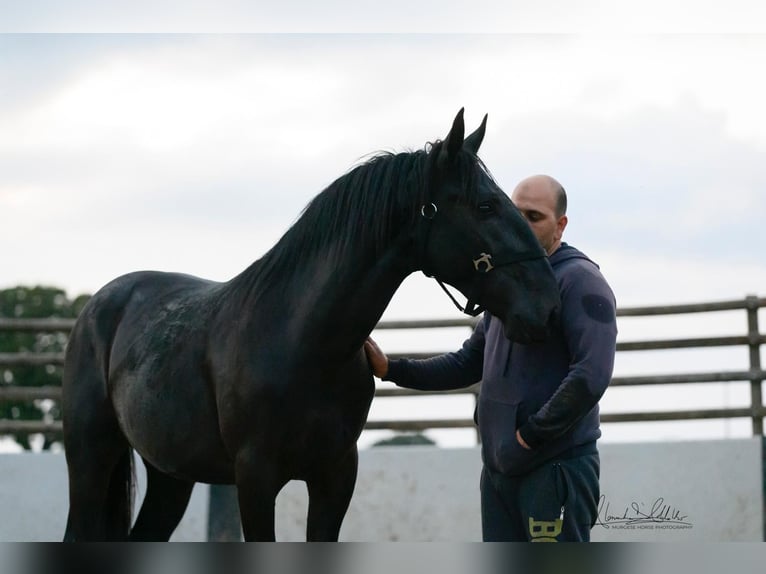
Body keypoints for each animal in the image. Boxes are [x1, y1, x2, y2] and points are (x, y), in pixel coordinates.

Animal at [61, 109, 560, 544]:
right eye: (486, 206)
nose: (548, 305)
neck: (303, 342)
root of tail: (98, 305)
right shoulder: (255, 479)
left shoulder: (335, 476)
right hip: (90, 461)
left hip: (170, 475)